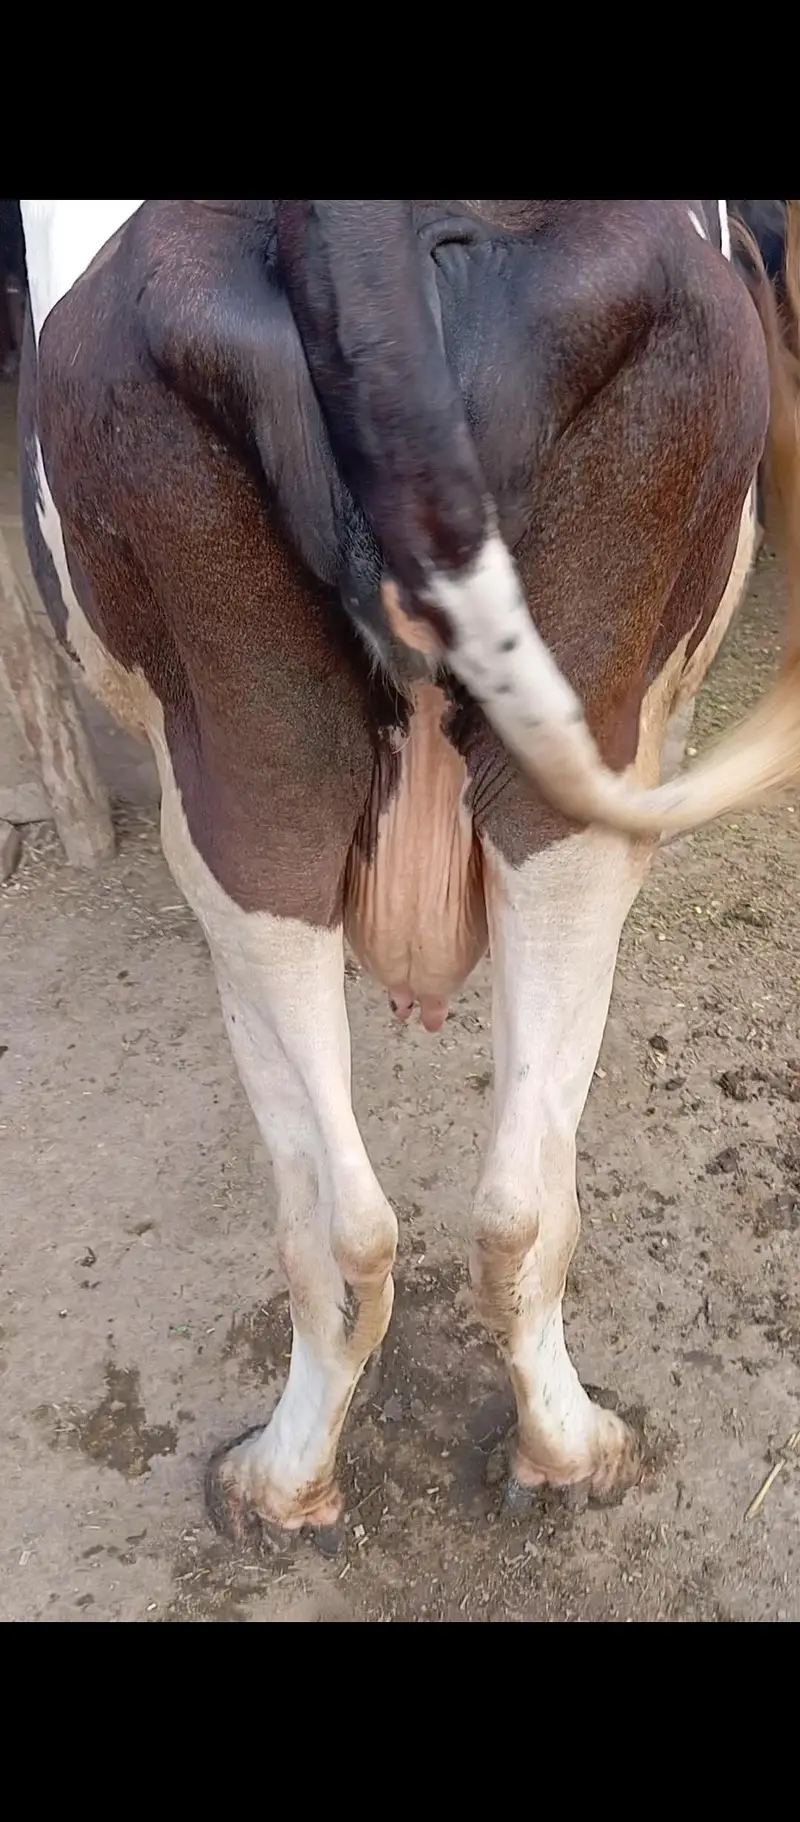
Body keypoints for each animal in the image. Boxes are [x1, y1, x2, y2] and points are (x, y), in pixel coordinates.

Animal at [15, 199, 800, 1553]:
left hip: (253, 792)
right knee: (486, 1201)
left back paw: (296, 1483)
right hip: (545, 786)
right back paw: (546, 1455)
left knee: (372, 1216)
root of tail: (360, 230)